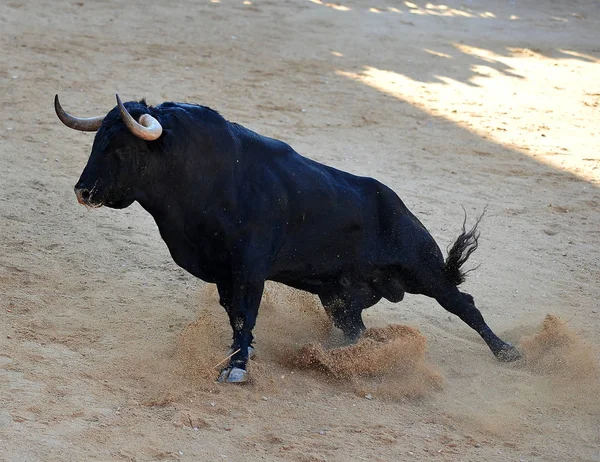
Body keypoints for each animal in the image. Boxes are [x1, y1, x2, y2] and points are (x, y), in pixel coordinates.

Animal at [58, 94, 524, 382]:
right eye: (97, 142)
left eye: (121, 148)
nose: (82, 191)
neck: (201, 176)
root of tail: (398, 205)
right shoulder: (224, 272)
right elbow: (234, 315)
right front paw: (240, 356)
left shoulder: (250, 267)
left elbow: (245, 315)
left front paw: (238, 368)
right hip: (339, 297)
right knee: (355, 329)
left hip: (424, 269)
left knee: (463, 304)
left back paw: (507, 352)